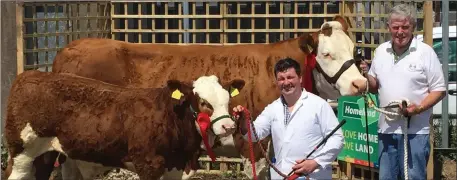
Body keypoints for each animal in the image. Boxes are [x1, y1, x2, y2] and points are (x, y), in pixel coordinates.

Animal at [3, 70, 244, 180]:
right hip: (22, 152)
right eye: (203, 102)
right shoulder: (149, 164)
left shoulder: (173, 168)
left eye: (227, 100)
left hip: (46, 154)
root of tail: (29, 75)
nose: (228, 127)